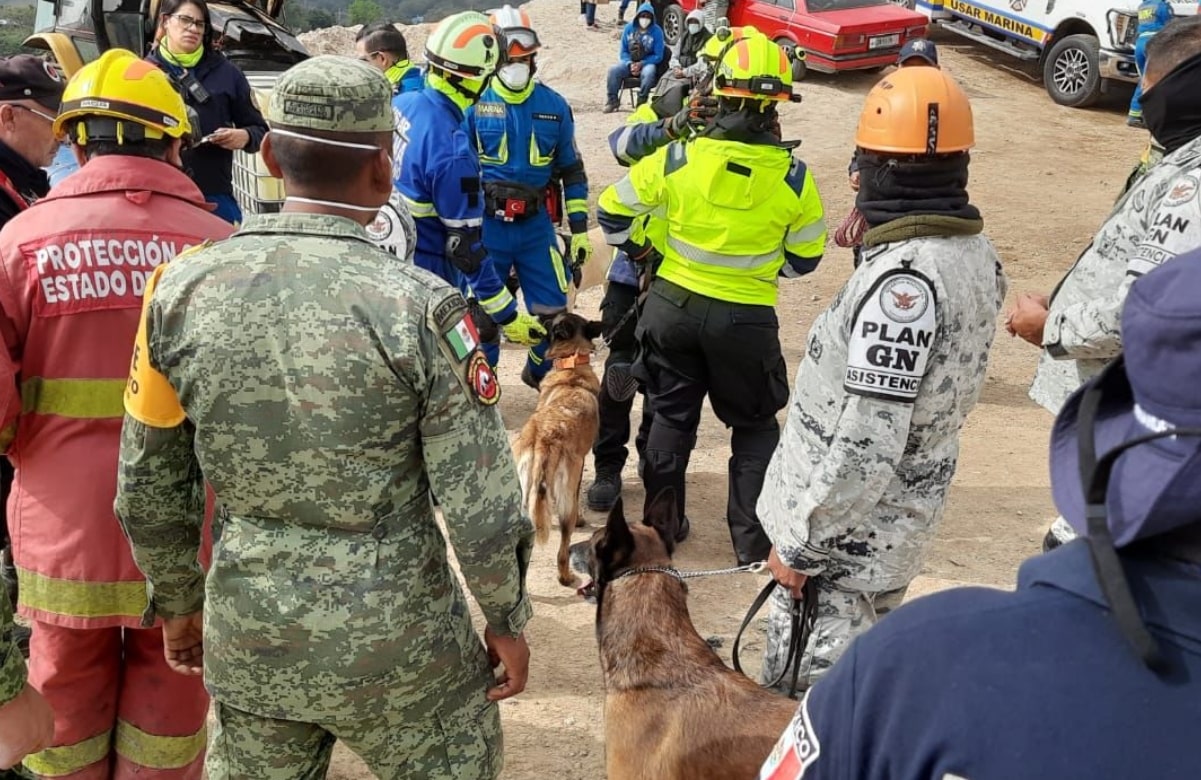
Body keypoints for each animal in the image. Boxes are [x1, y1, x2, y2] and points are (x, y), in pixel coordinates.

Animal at [511, 310, 600, 584]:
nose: (538, 316)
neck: (571, 366)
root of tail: (543, 438)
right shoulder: (579, 468)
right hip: (565, 500)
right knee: (563, 548)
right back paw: (566, 577)